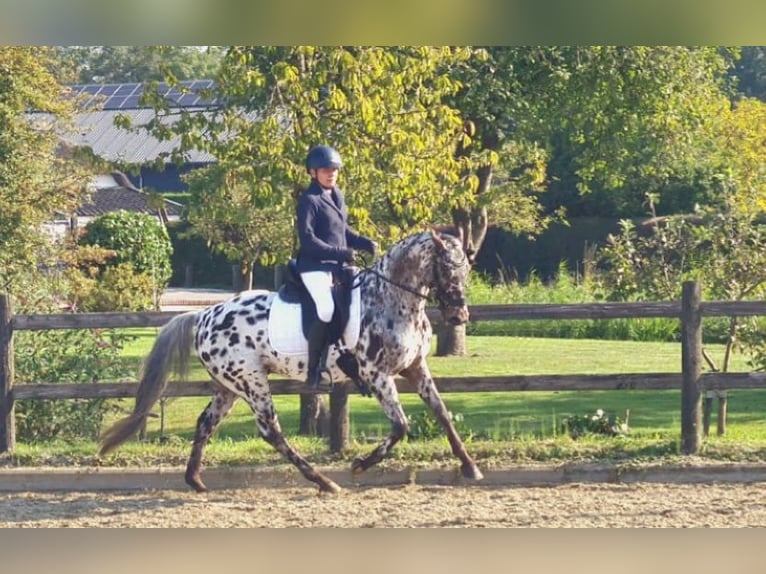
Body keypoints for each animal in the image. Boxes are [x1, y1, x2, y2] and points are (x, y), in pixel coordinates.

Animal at [99, 228, 483, 493]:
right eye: (446, 267)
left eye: (466, 269)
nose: (460, 315)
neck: (391, 299)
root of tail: (204, 315)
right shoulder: (377, 375)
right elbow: (401, 426)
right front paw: (360, 466)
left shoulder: (416, 367)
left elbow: (442, 414)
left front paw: (470, 467)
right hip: (252, 382)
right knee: (271, 431)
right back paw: (325, 482)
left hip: (227, 386)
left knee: (206, 423)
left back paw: (195, 481)